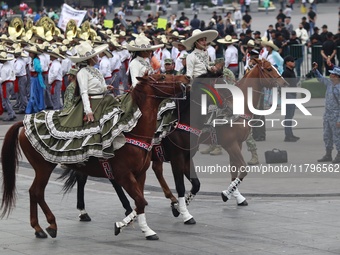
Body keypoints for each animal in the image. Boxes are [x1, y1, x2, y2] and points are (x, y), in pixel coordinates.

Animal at [0, 74, 189, 241]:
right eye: (162, 77)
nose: (185, 79)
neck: (134, 130)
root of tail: (24, 123)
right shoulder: (124, 175)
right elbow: (141, 201)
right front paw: (134, 227)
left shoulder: (140, 174)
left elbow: (140, 202)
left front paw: (138, 227)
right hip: (43, 168)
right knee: (37, 192)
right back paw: (50, 225)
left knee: (34, 192)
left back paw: (38, 228)